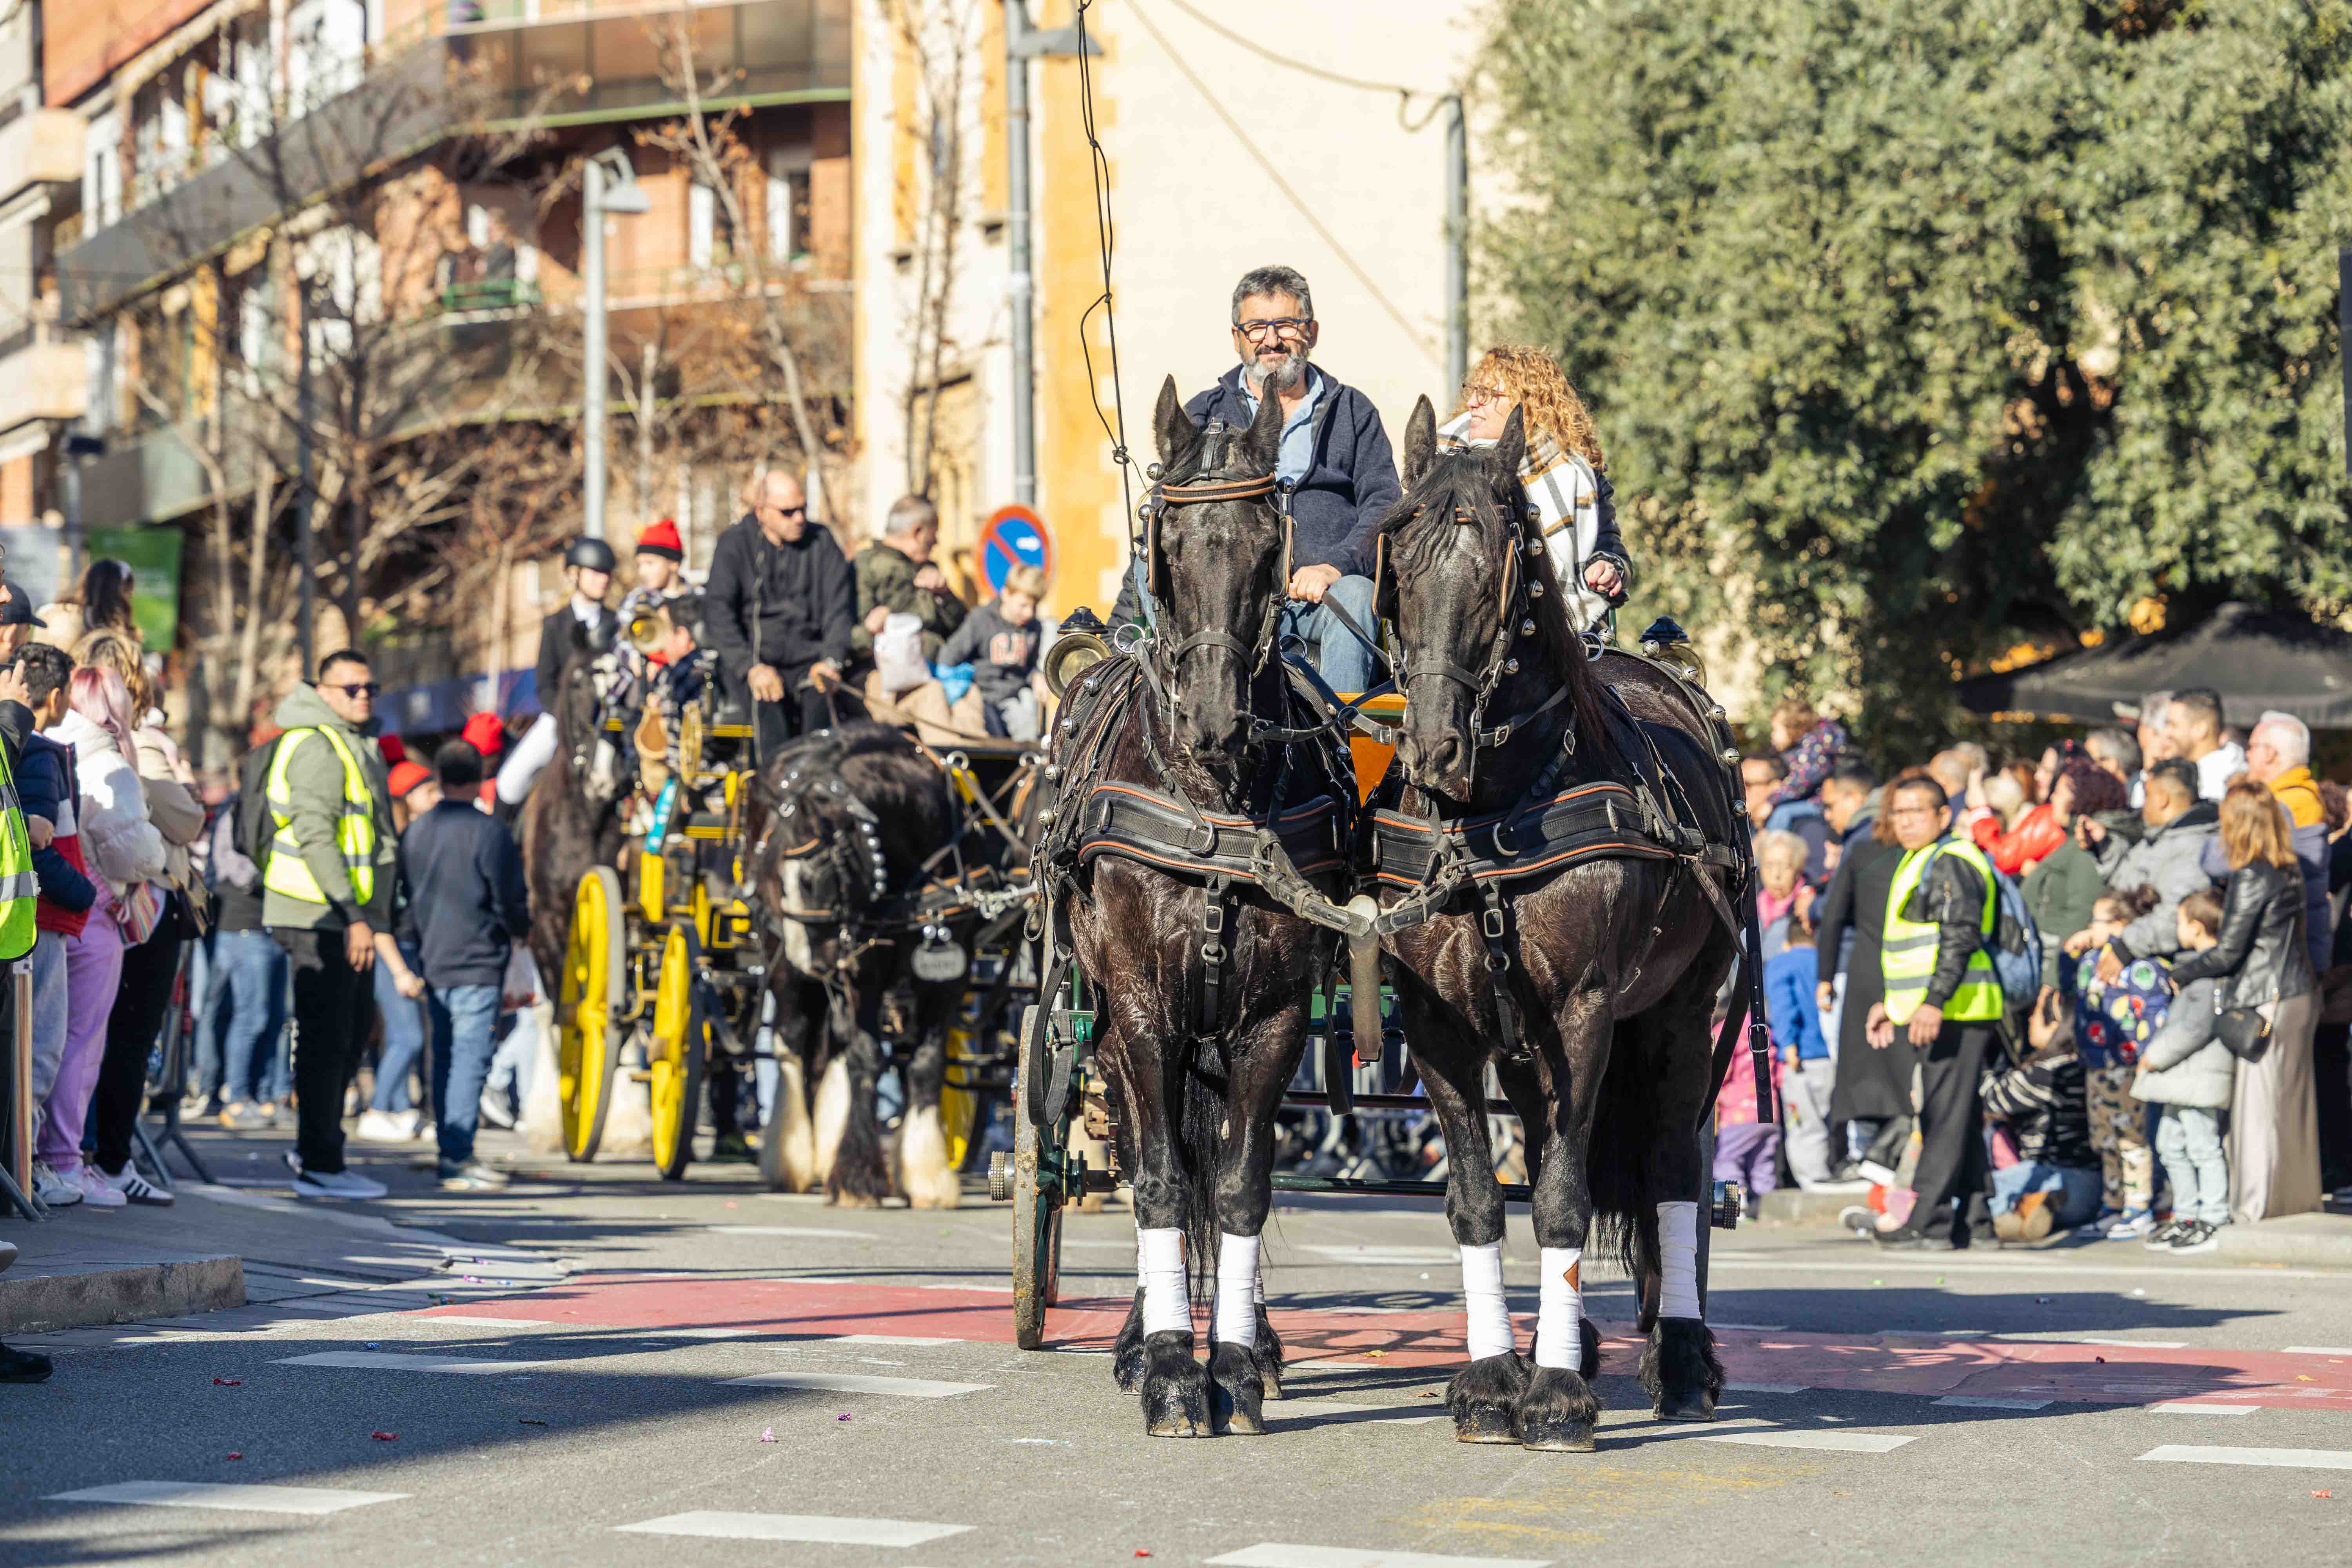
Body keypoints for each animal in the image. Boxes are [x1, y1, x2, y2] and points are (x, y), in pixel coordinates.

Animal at [1068, 376, 1345, 1439]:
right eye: (1170, 546)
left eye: (1271, 544)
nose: (1220, 717)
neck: (1213, 794)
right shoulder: (1144, 1010)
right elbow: (1159, 1178)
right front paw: (1171, 1372)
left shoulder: (1271, 1019)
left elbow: (1239, 1185)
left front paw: (1231, 1360)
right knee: (1153, 1155)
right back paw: (1144, 1337)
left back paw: (1251, 1340)